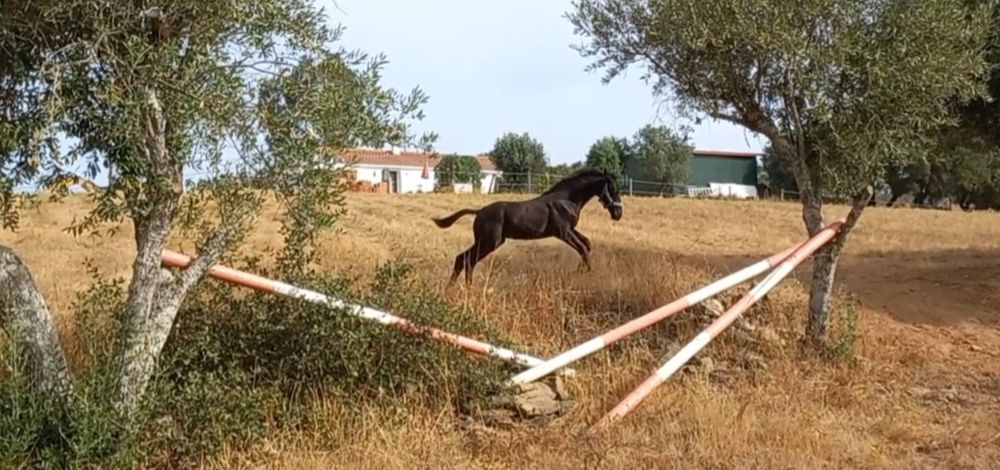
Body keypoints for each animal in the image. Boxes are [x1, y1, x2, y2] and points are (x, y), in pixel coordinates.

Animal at [431, 168, 623, 285]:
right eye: (614, 189)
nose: (618, 214)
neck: (567, 200)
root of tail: (479, 211)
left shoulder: (571, 229)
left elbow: (587, 244)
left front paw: (580, 269)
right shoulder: (563, 232)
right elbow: (582, 248)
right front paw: (583, 271)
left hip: (486, 241)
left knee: (462, 259)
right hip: (489, 242)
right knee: (467, 260)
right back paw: (466, 288)